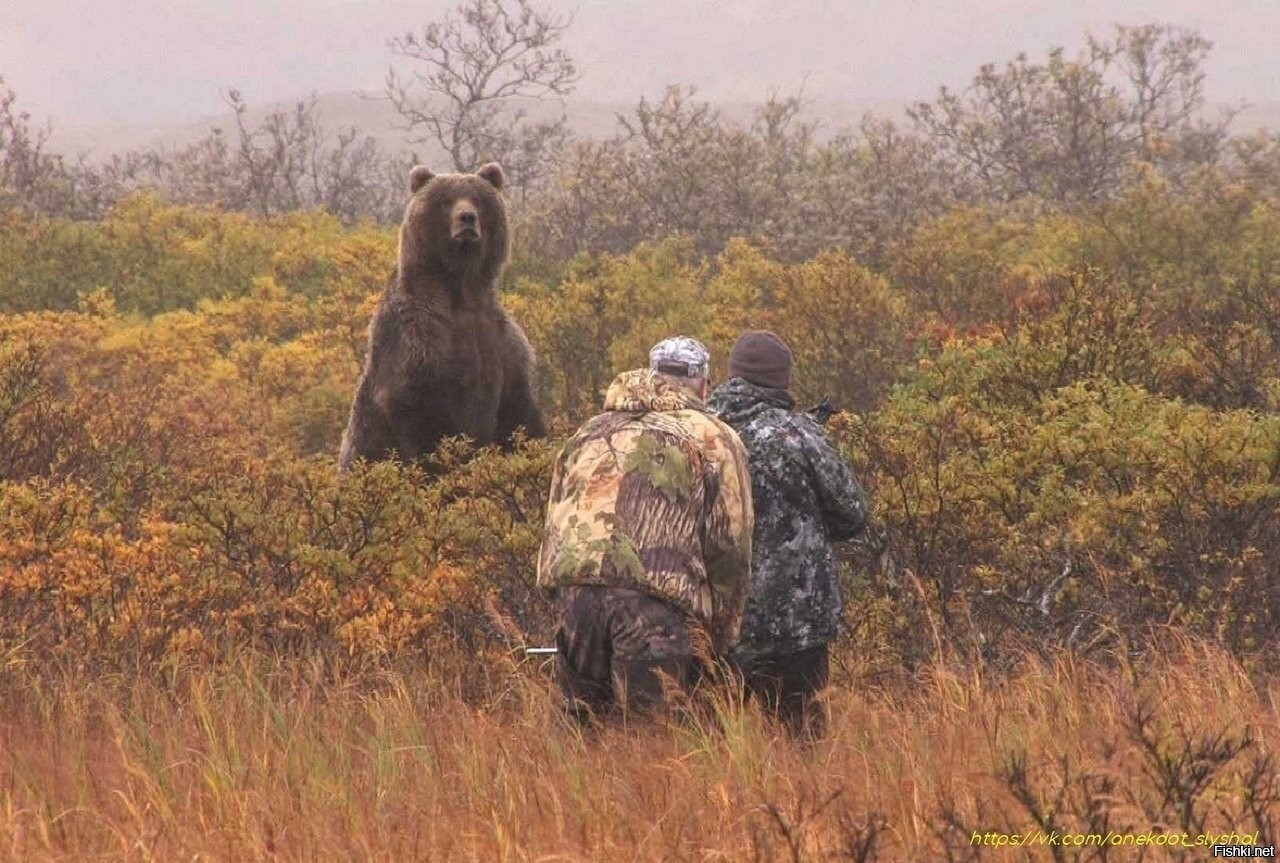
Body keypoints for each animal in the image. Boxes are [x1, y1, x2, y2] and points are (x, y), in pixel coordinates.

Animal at [337, 161, 547, 471]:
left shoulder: (500, 341)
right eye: (446, 200)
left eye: (477, 199)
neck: (461, 291)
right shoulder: (419, 341)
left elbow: (518, 409)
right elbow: (420, 415)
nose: (467, 218)